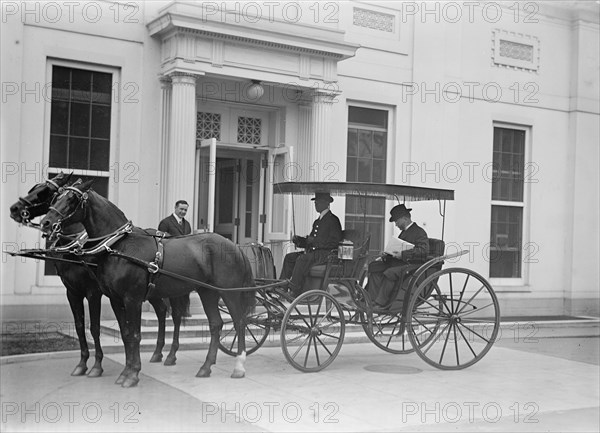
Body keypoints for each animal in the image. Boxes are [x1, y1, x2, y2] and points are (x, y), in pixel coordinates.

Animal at [9, 174, 190, 376]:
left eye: (45, 192)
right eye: (55, 196)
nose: (14, 209)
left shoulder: (93, 292)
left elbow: (94, 328)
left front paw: (97, 365)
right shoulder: (73, 292)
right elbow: (80, 326)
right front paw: (82, 363)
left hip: (174, 289)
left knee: (176, 315)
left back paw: (171, 354)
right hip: (154, 292)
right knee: (161, 311)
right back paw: (158, 352)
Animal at [39, 180, 255, 388]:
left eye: (72, 199)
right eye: (57, 196)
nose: (46, 222)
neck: (118, 246)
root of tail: (234, 246)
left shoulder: (130, 299)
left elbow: (134, 334)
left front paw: (133, 374)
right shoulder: (115, 299)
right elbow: (125, 334)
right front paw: (125, 372)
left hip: (229, 292)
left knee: (239, 321)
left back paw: (239, 366)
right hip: (207, 292)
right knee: (215, 324)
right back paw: (206, 366)